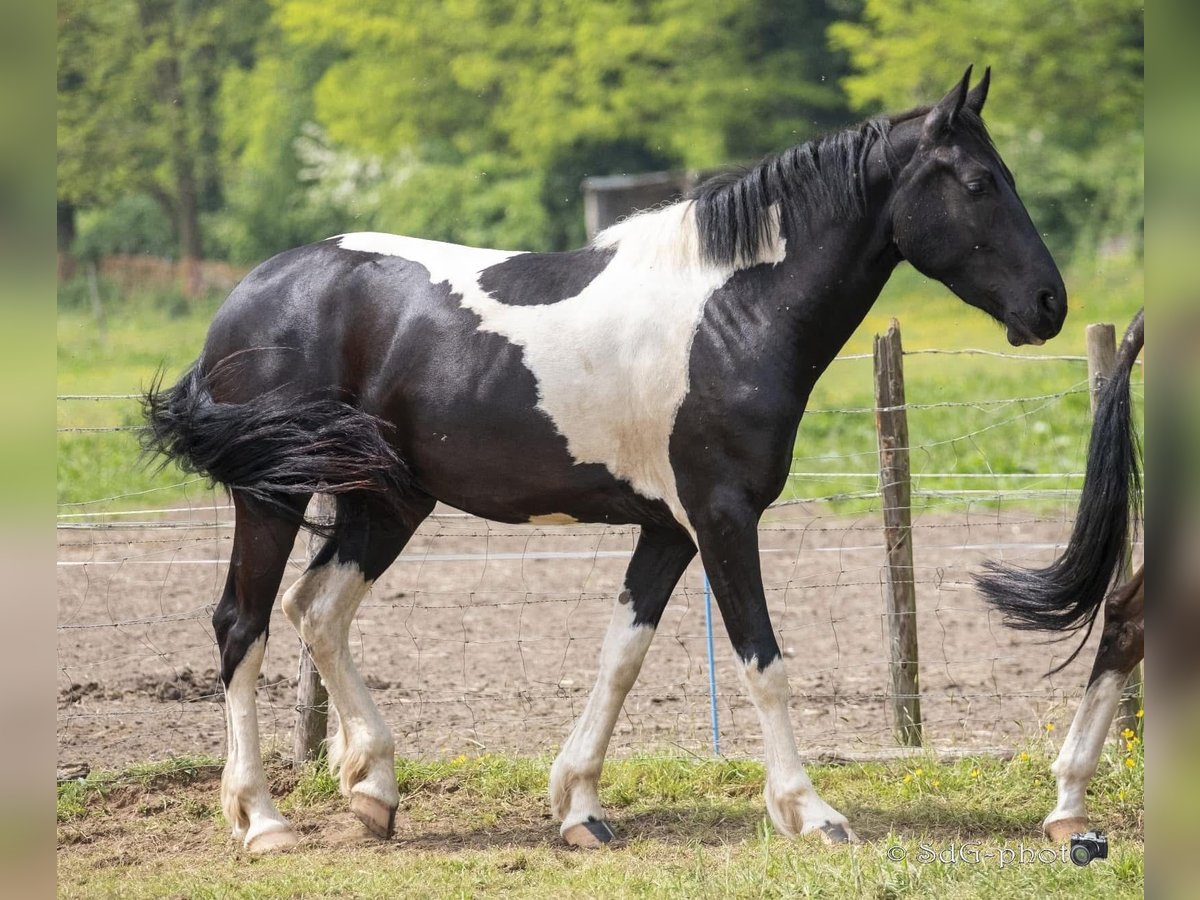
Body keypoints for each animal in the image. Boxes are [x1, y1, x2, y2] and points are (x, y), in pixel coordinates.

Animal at [142, 68, 1070, 854]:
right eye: (979, 183)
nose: (1050, 304)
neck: (730, 311)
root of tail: (245, 298)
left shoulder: (668, 530)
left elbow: (620, 658)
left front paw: (579, 808)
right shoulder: (722, 517)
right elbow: (761, 660)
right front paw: (811, 812)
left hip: (388, 502)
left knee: (318, 610)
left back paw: (372, 788)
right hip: (274, 499)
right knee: (244, 624)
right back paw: (263, 820)